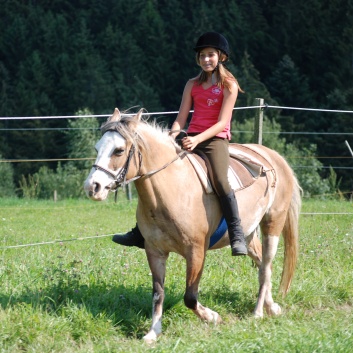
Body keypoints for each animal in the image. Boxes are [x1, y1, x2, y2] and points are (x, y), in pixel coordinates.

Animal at [83, 108, 300, 344]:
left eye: (119, 150)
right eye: (97, 148)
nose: (92, 187)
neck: (173, 189)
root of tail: (274, 157)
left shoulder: (196, 252)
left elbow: (189, 296)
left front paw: (212, 317)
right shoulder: (155, 252)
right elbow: (158, 293)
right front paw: (153, 332)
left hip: (272, 224)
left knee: (266, 265)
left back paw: (258, 312)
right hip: (248, 233)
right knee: (261, 264)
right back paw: (272, 307)